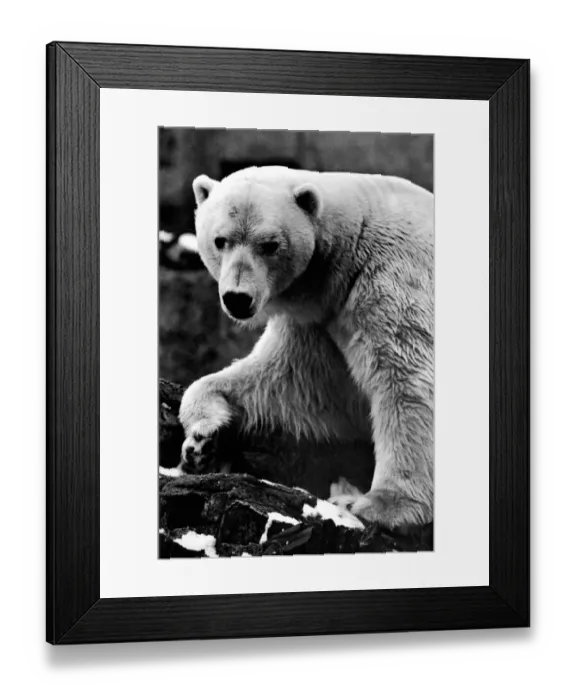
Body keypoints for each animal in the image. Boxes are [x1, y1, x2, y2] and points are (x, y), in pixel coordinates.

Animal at [178, 165, 434, 530]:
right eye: (220, 240)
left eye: (270, 245)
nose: (237, 298)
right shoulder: (317, 321)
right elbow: (294, 383)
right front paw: (203, 439)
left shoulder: (389, 280)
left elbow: (405, 377)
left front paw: (385, 505)